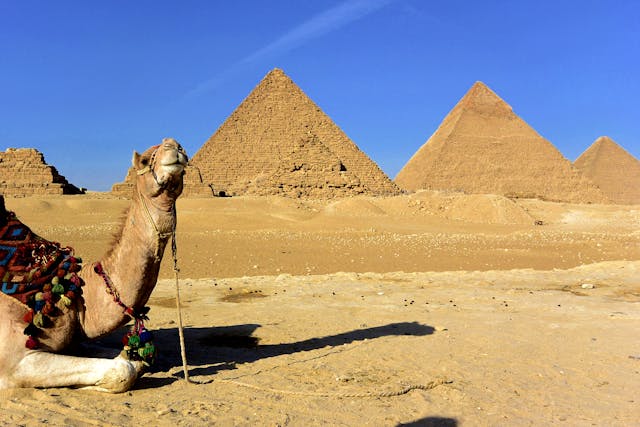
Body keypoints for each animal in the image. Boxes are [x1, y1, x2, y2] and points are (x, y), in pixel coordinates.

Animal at [0, 138, 187, 392]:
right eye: (144, 160)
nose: (174, 145)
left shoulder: (73, 341)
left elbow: (133, 359)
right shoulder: (16, 361)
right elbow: (123, 370)